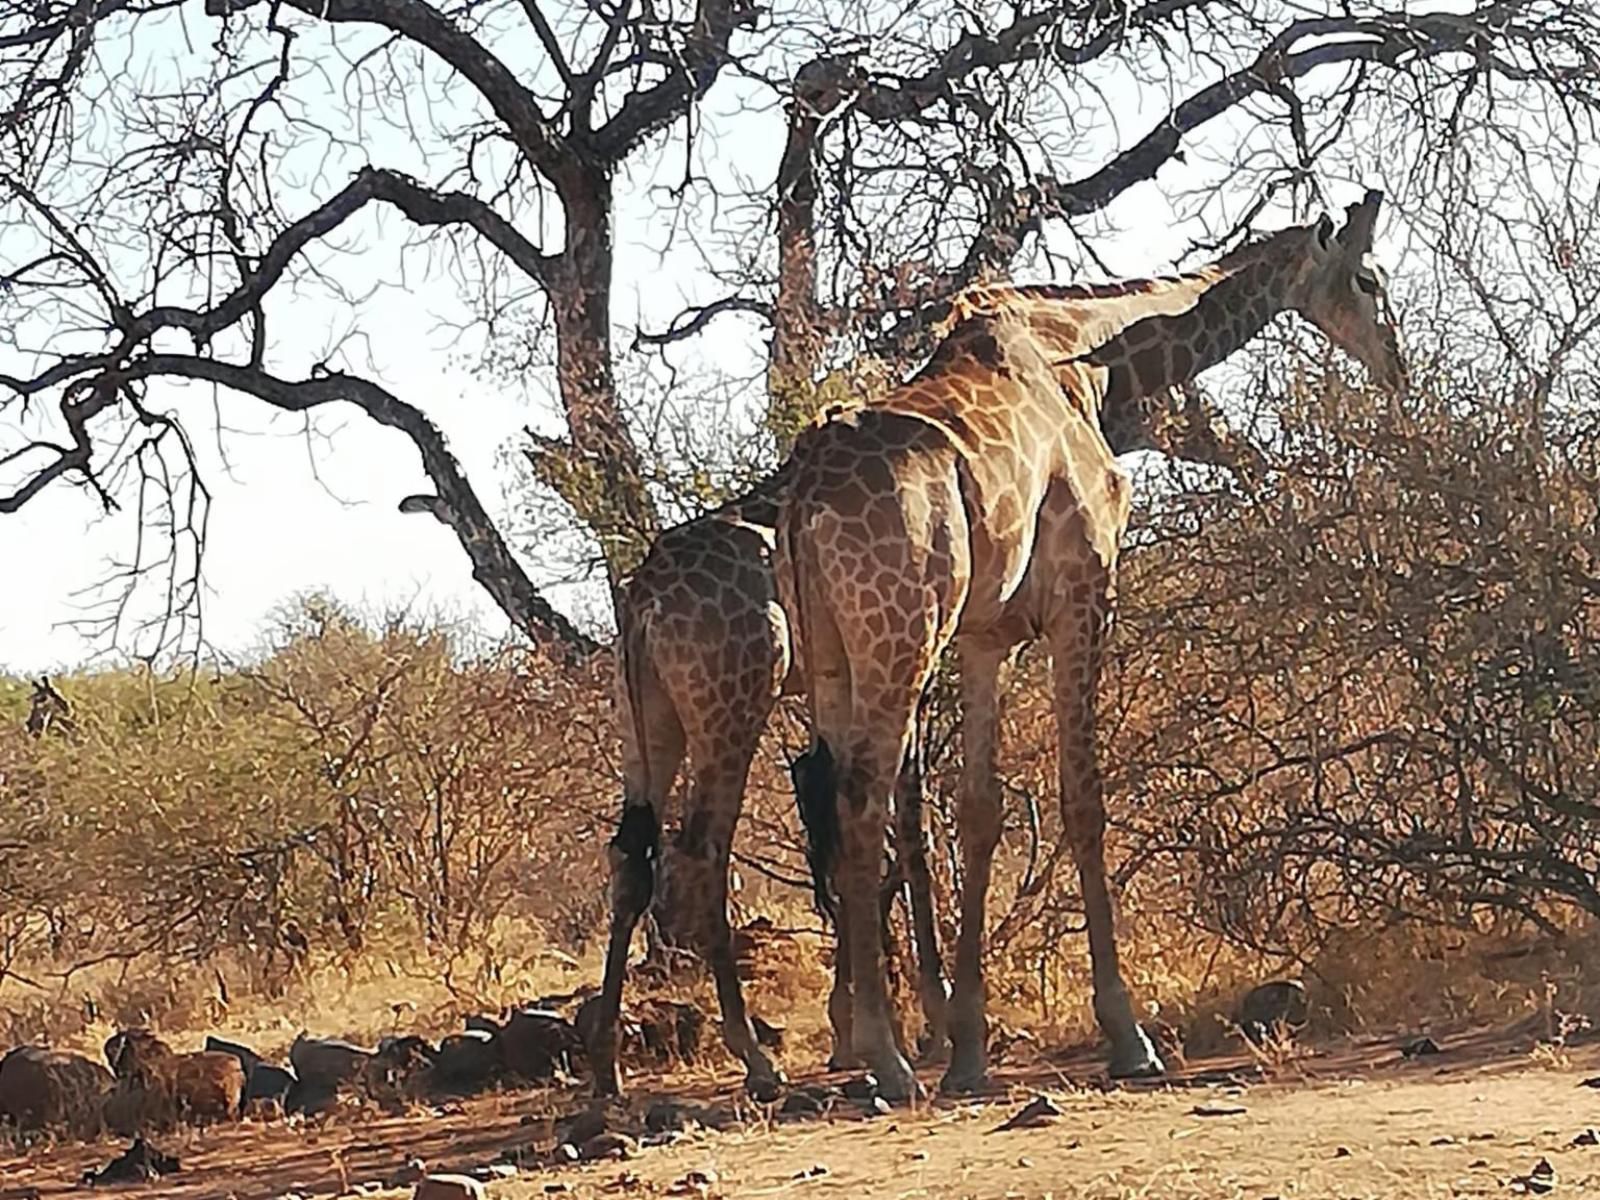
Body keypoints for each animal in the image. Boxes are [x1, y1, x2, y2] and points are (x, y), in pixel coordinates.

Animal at [582, 284, 1267, 1107]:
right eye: (1191, 409)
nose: (1232, 450)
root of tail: (642, 599)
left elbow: (892, 832)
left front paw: (888, 1024)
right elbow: (904, 832)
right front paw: (919, 1027)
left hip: (652, 717)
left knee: (636, 852)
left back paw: (608, 1072)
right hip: (736, 703)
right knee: (709, 845)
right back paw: (762, 1060)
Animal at [777, 192, 1414, 1107]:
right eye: (1367, 279)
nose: (1397, 366)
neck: (1088, 363)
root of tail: (801, 497)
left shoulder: (986, 636)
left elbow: (981, 812)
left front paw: (969, 1052)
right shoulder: (1086, 591)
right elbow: (1084, 798)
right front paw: (1128, 1035)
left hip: (831, 654)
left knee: (839, 808)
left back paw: (880, 1048)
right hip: (899, 639)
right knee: (866, 806)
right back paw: (885, 1059)